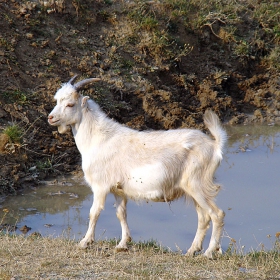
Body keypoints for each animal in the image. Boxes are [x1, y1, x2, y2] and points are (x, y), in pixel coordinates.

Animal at [48, 76, 228, 258]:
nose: (50, 117)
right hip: (192, 190)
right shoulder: (118, 190)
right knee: (203, 217)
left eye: (70, 104)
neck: (99, 139)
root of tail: (214, 146)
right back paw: (192, 251)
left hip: (197, 185)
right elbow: (121, 214)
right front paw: (122, 244)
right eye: (56, 100)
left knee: (216, 214)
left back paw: (208, 252)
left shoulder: (100, 186)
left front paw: (85, 242)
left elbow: (94, 212)